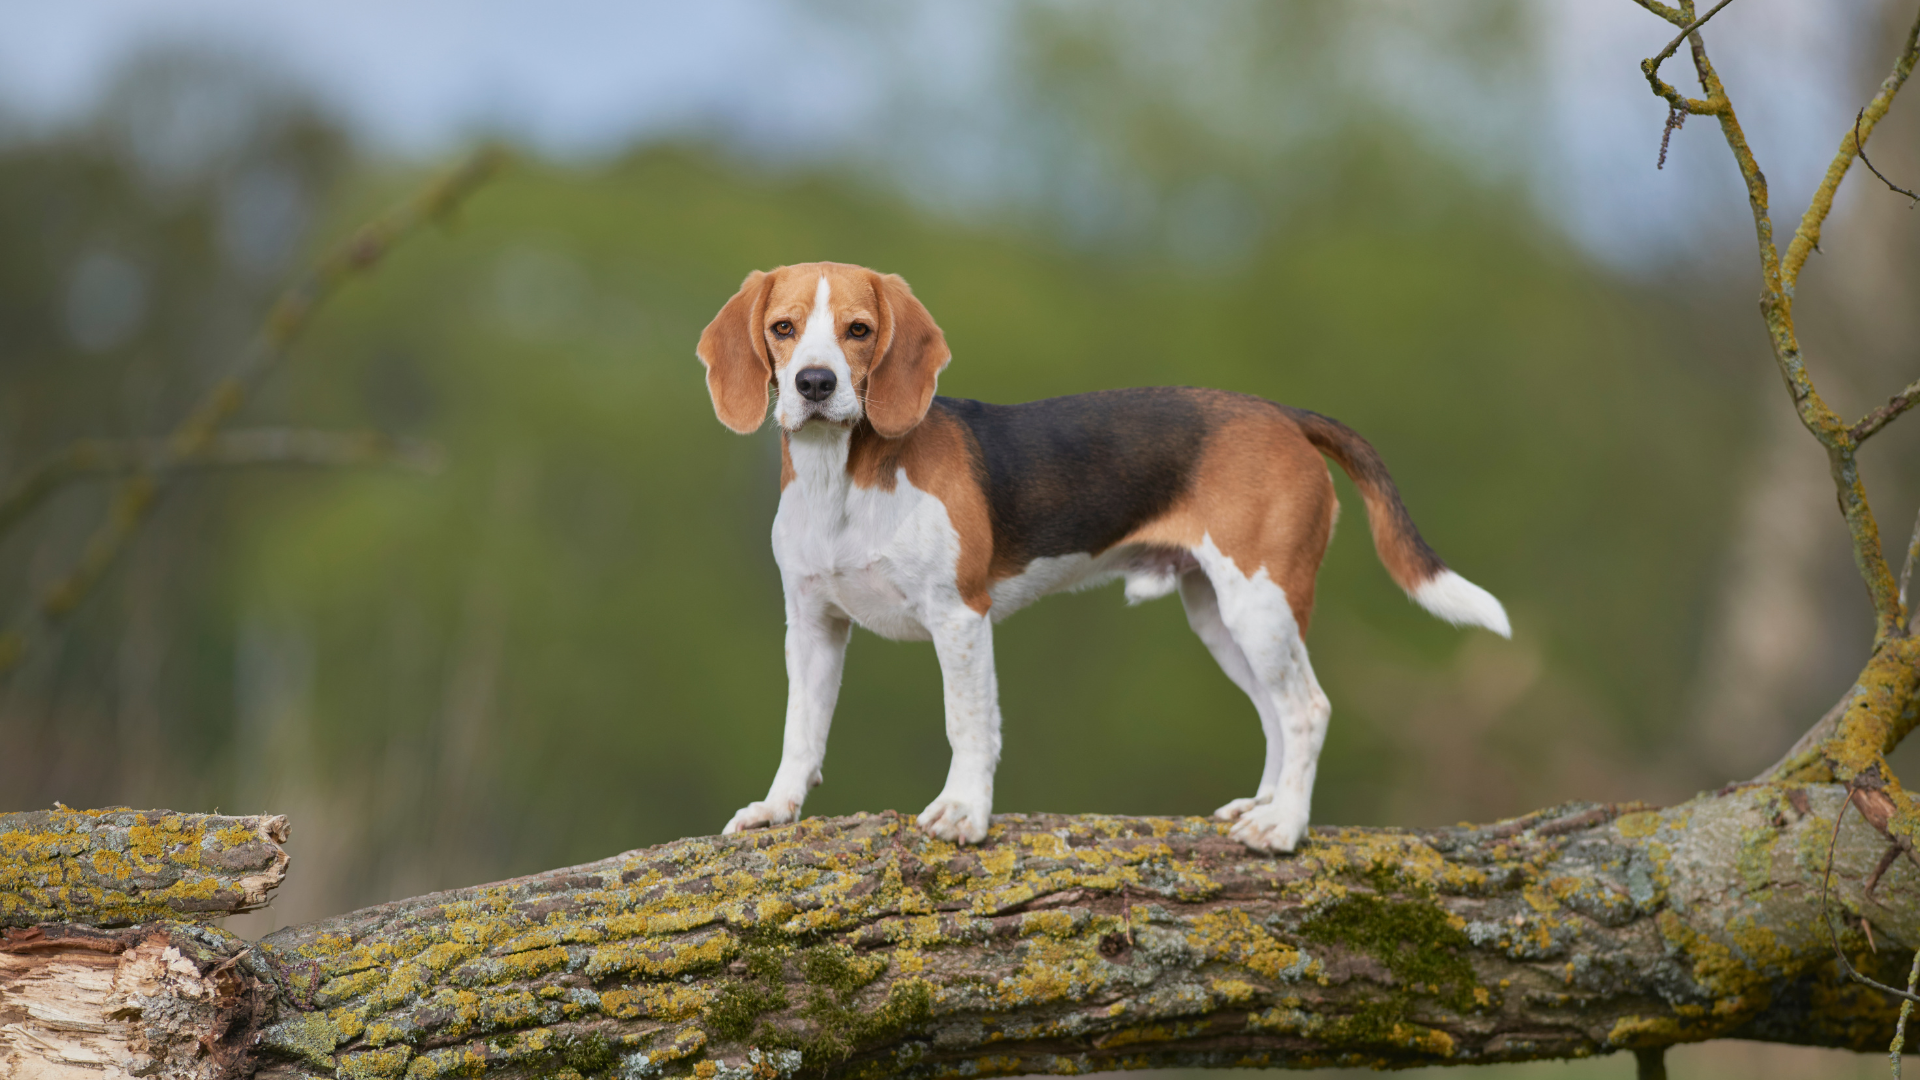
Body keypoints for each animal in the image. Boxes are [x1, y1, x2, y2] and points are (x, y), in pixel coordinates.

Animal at [698, 259, 1505, 849]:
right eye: (783, 328)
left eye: (859, 330)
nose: (815, 383)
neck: (843, 480)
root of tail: (1284, 415)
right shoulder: (812, 627)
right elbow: (800, 731)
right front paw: (776, 809)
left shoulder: (959, 619)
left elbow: (969, 724)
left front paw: (963, 813)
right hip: (1223, 616)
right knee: (1276, 713)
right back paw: (1264, 804)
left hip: (1261, 601)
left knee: (1307, 708)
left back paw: (1282, 828)